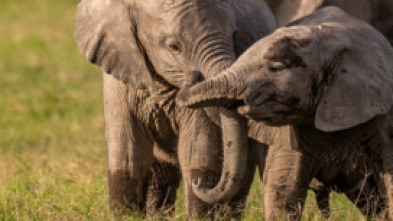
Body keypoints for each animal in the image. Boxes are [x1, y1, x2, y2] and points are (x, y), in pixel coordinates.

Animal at [74, 0, 276, 218]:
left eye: (234, 35)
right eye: (174, 47)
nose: (193, 77)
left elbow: (197, 151)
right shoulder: (120, 75)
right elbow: (127, 153)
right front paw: (125, 217)